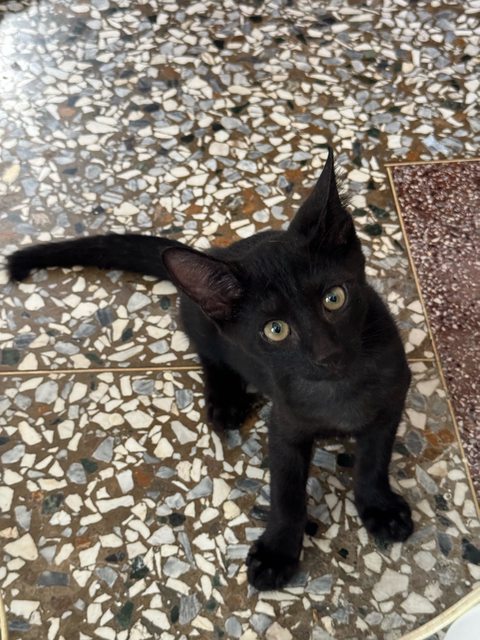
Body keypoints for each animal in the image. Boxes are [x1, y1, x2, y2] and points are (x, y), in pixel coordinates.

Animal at [7, 148, 413, 591]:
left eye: (334, 298)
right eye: (275, 330)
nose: (328, 354)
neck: (339, 391)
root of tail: (221, 251)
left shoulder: (391, 403)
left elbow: (373, 462)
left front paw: (379, 508)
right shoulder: (285, 427)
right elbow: (287, 492)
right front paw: (278, 551)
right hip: (200, 321)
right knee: (209, 355)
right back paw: (226, 401)